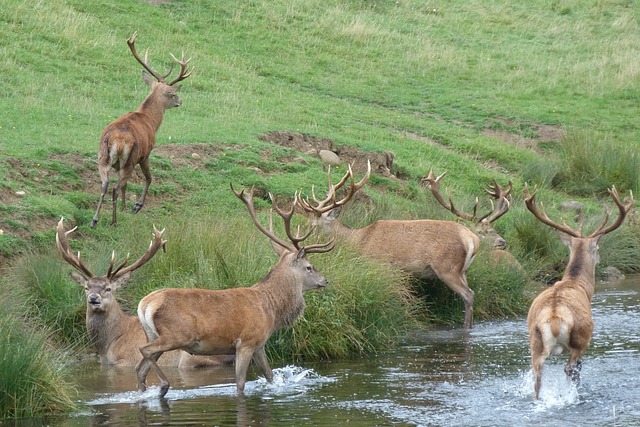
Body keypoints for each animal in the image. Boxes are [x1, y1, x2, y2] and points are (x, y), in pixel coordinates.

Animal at [56, 218, 233, 368]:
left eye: (108, 288)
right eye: (86, 287)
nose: (93, 299)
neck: (109, 345)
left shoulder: (127, 360)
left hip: (191, 357)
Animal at [92, 32, 192, 227]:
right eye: (173, 94)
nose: (180, 101)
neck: (150, 121)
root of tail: (118, 141)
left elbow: (126, 186)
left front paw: (124, 207)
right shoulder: (146, 153)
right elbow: (149, 178)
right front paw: (136, 206)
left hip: (103, 157)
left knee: (105, 185)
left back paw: (95, 219)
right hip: (130, 160)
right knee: (115, 187)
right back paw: (114, 221)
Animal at [134, 184, 335, 398]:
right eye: (309, 267)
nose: (325, 280)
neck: (271, 310)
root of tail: (145, 304)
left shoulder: (259, 345)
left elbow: (270, 376)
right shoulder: (246, 341)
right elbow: (240, 384)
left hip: (152, 333)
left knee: (140, 368)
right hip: (177, 334)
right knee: (144, 351)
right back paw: (164, 385)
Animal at [298, 162, 480, 328]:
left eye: (313, 226)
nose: (300, 243)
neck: (360, 240)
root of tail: (472, 239)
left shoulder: (380, 263)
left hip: (447, 267)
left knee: (468, 294)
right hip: (463, 270)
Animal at [523, 185, 633, 399]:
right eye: (597, 248)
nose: (599, 258)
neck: (578, 284)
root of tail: (554, 317)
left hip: (535, 342)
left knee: (537, 378)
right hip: (581, 337)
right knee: (571, 368)